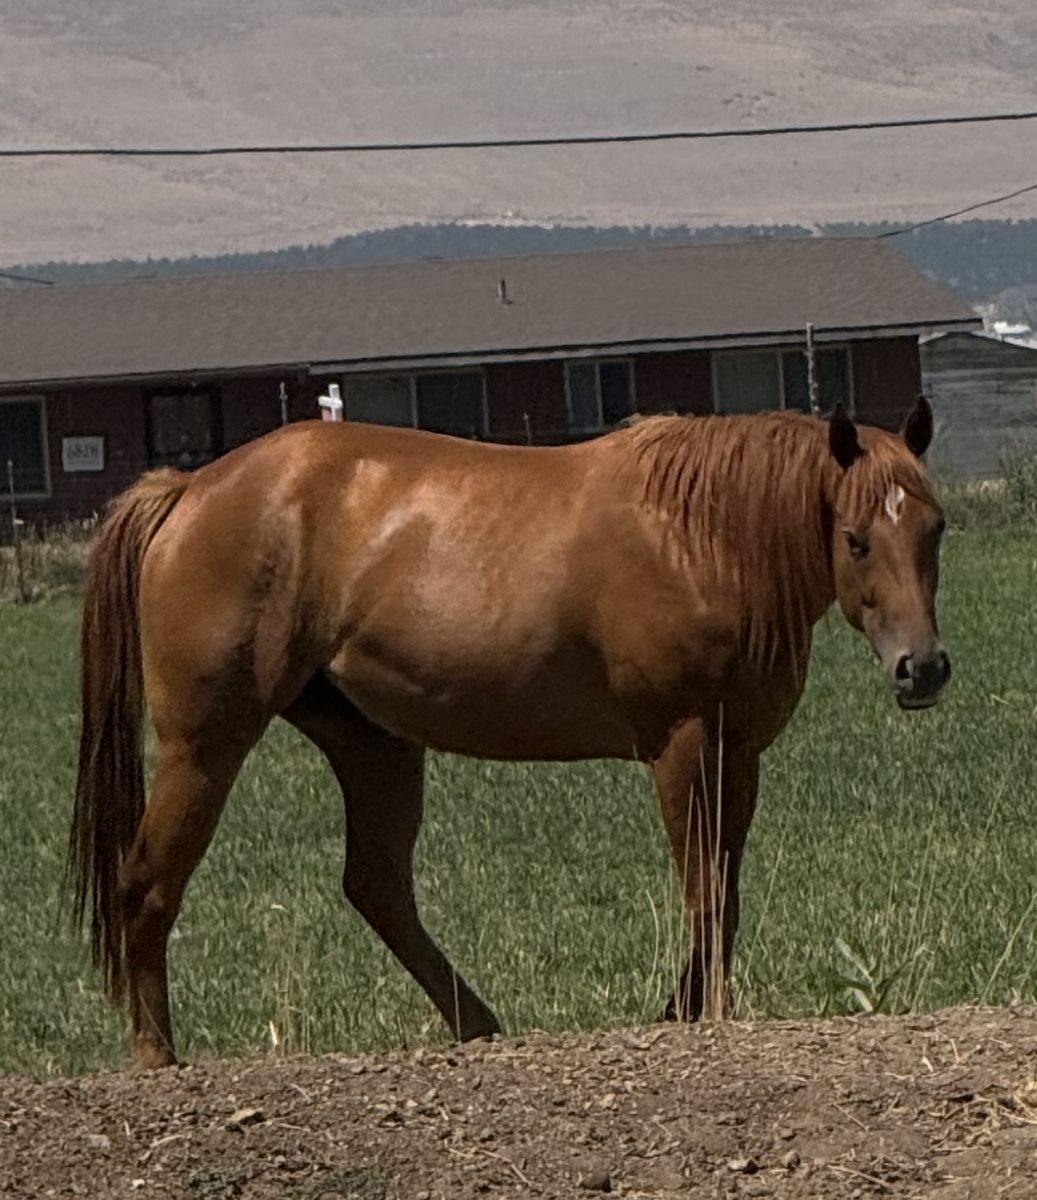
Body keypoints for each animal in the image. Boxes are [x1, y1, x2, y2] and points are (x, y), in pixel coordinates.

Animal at [68, 396, 949, 1069]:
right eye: (855, 538)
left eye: (934, 529)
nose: (922, 669)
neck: (701, 536)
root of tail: (190, 488)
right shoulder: (682, 745)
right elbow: (704, 890)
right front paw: (712, 1017)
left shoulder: (739, 754)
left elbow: (723, 893)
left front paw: (684, 1010)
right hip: (203, 746)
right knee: (146, 883)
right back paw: (158, 1058)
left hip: (373, 744)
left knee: (377, 888)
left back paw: (479, 1027)